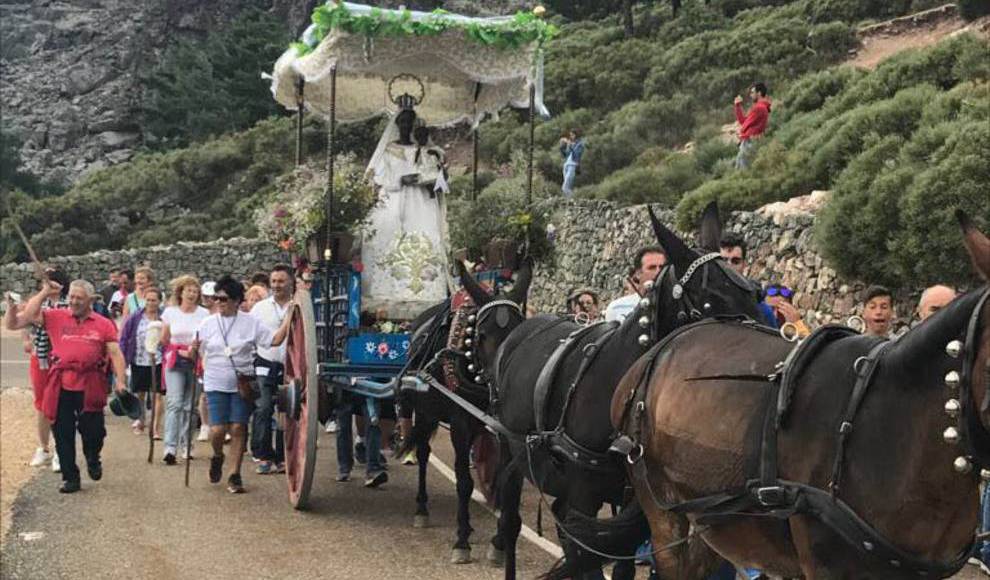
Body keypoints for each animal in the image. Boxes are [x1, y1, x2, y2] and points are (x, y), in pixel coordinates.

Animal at [396, 262, 536, 568]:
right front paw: (461, 541)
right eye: (482, 335)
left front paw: (500, 543)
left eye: (520, 333)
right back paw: (422, 509)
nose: (506, 383)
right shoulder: (461, 424)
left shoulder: (504, 430)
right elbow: (463, 481)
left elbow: (508, 484)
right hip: (426, 411)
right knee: (423, 452)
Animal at [462, 204, 764, 580]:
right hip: (510, 448)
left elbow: (618, 562)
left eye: (755, 294)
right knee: (512, 514)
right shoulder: (585, 494)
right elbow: (584, 554)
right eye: (712, 302)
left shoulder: (638, 497)